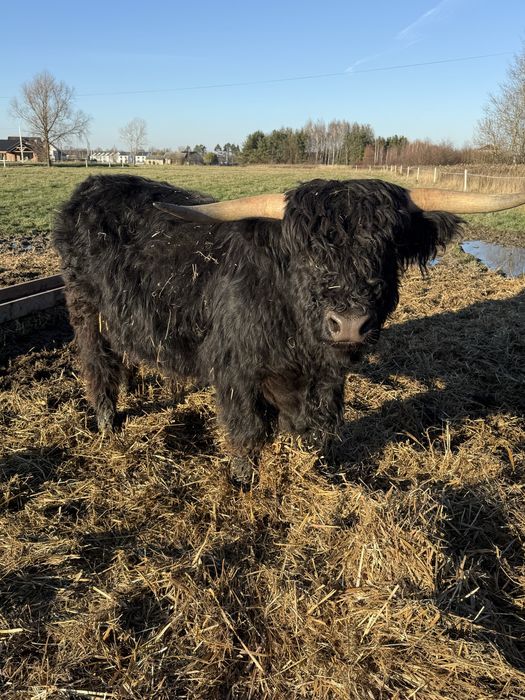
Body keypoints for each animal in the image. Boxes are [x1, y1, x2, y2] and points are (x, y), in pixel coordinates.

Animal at [53, 174, 525, 487]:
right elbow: (249, 431)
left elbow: (315, 427)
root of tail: (92, 185)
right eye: (307, 253)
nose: (349, 324)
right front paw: (243, 480)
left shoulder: (323, 378)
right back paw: (107, 421)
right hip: (85, 308)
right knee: (97, 362)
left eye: (386, 248)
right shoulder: (236, 368)